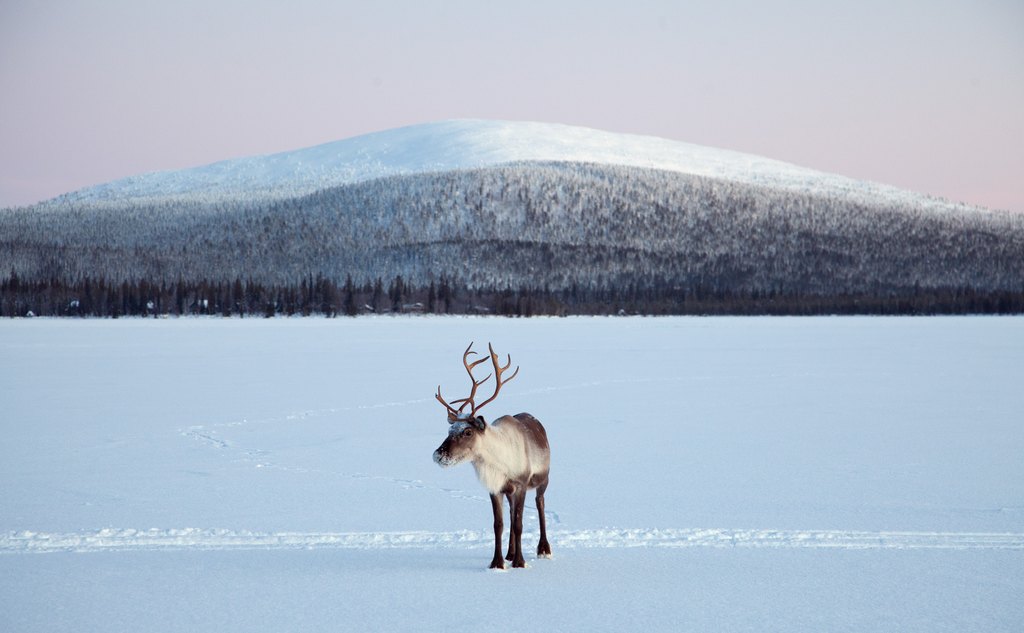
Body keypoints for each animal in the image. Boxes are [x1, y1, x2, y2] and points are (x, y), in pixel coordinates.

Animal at [432, 342, 551, 569]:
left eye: (467, 432)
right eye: (450, 430)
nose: (438, 454)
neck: (497, 463)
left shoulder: (521, 484)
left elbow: (519, 523)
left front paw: (520, 562)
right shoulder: (495, 488)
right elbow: (499, 524)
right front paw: (497, 562)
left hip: (544, 479)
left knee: (540, 504)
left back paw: (544, 549)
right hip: (510, 492)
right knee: (512, 516)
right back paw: (510, 553)